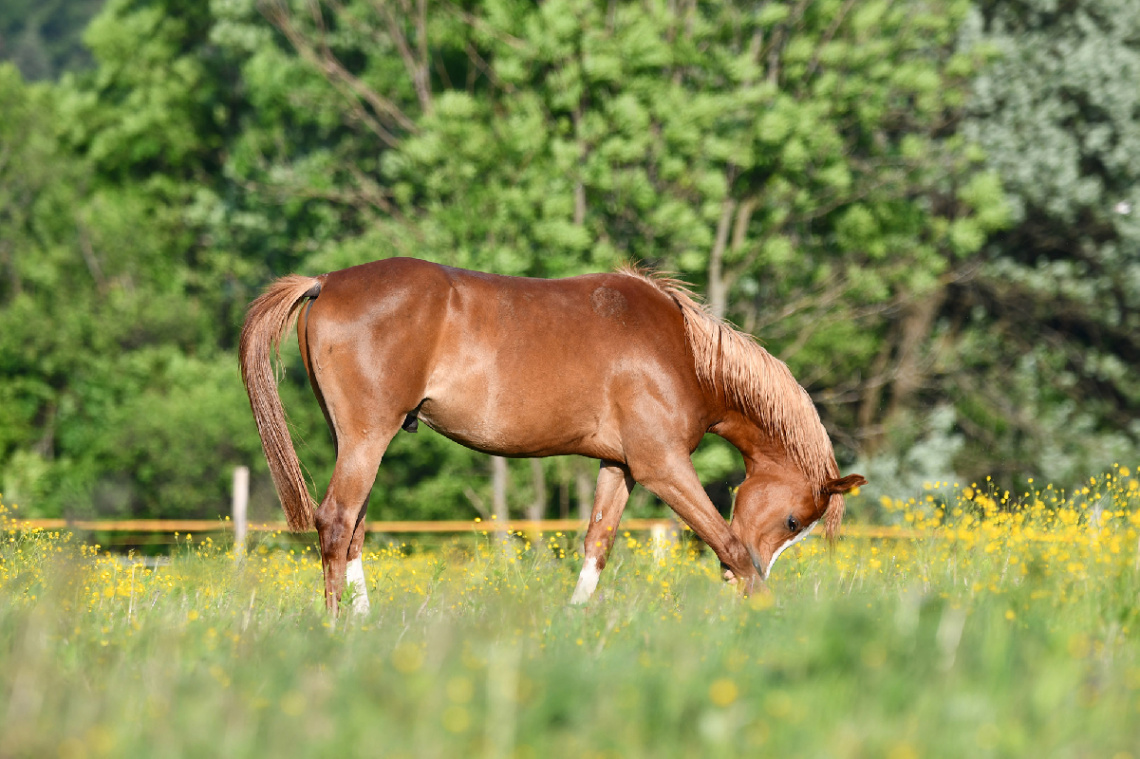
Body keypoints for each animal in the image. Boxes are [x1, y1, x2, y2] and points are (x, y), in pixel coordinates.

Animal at [240, 257, 861, 610]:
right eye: (793, 522)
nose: (739, 583)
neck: (682, 352)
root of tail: (326, 282)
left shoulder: (621, 467)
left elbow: (597, 546)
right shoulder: (662, 467)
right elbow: (728, 544)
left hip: (358, 440)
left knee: (353, 531)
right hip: (368, 438)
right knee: (335, 523)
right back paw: (337, 630)